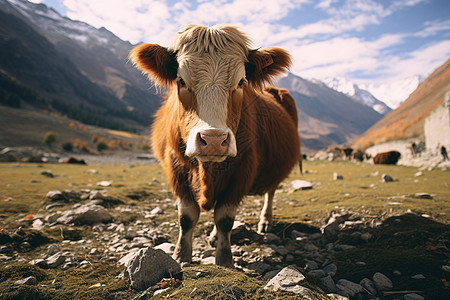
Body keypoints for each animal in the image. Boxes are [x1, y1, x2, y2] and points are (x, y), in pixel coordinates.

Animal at [128, 24, 300, 266]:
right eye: (181, 80)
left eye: (241, 82)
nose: (213, 140)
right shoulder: (175, 166)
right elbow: (186, 217)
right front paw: (181, 256)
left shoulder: (243, 168)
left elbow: (225, 218)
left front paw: (224, 260)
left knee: (270, 191)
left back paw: (265, 222)